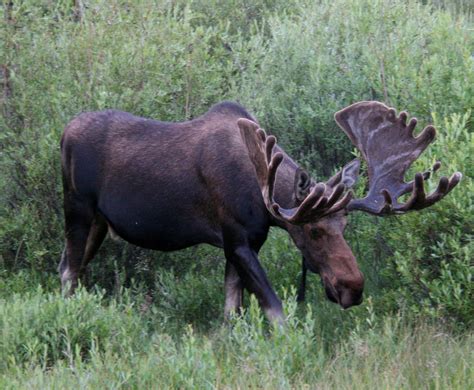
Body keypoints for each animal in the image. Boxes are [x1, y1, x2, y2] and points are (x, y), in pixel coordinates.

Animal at [60, 100, 462, 322]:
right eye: (313, 230)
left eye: (346, 225)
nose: (352, 288)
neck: (263, 195)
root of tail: (64, 132)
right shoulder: (237, 240)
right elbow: (276, 310)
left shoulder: (244, 243)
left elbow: (231, 311)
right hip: (78, 210)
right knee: (68, 271)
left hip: (99, 223)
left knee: (71, 267)